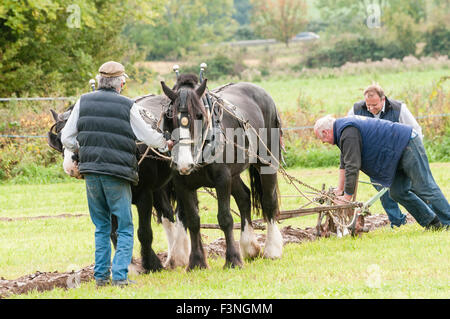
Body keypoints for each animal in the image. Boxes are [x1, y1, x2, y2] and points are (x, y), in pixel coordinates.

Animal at [46, 94, 191, 272]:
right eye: (60, 140)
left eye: (80, 132)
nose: (70, 167)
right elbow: (114, 232)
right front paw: (130, 267)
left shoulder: (145, 194)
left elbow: (144, 232)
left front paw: (151, 265)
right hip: (160, 188)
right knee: (166, 213)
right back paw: (174, 258)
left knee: (180, 214)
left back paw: (182, 255)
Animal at [160, 74, 284, 270]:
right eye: (170, 117)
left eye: (199, 115)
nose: (185, 162)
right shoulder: (182, 183)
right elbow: (193, 220)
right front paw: (196, 262)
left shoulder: (222, 179)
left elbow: (225, 218)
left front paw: (233, 260)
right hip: (234, 174)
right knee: (244, 197)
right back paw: (249, 247)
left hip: (267, 162)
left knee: (268, 201)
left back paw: (272, 250)